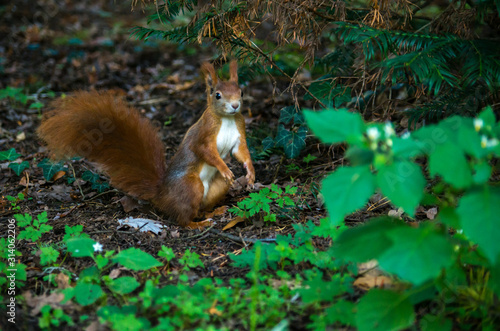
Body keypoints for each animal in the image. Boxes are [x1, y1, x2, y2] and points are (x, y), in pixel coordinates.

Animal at [36, 61, 254, 228]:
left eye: (241, 92)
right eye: (217, 95)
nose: (235, 105)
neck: (226, 119)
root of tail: (162, 194)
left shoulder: (239, 132)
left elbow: (241, 152)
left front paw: (250, 173)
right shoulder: (204, 134)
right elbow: (205, 152)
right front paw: (225, 168)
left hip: (216, 188)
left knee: (201, 207)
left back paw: (215, 212)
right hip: (191, 186)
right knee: (182, 219)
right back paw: (197, 224)